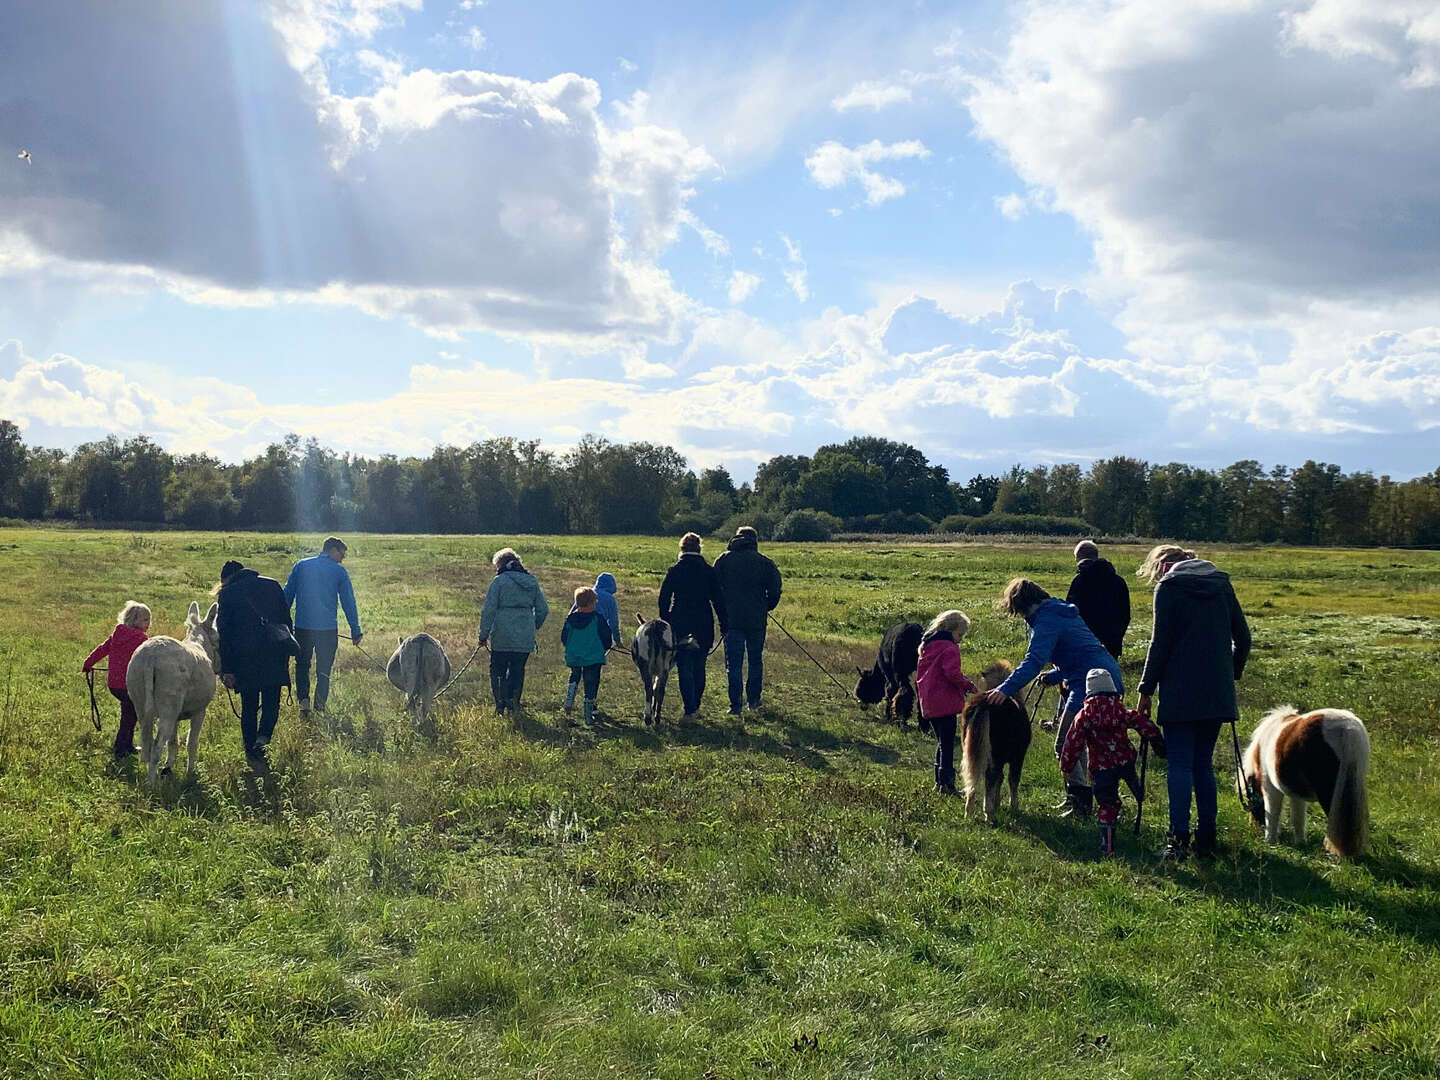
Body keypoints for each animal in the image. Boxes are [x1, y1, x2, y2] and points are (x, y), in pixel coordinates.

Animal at [961, 665, 1031, 823]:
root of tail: (984, 703)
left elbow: (1000, 778)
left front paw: (998, 803)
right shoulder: (1018, 757)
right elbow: (1012, 779)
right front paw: (1013, 806)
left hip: (972, 750)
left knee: (973, 775)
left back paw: (969, 811)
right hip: (996, 755)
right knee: (990, 777)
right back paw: (989, 814)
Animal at [1244, 711, 1365, 864]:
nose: (1253, 828)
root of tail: (1348, 729)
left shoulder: (1270, 788)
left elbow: (1273, 813)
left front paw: (1270, 841)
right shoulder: (1297, 794)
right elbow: (1298, 818)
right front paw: (1300, 843)